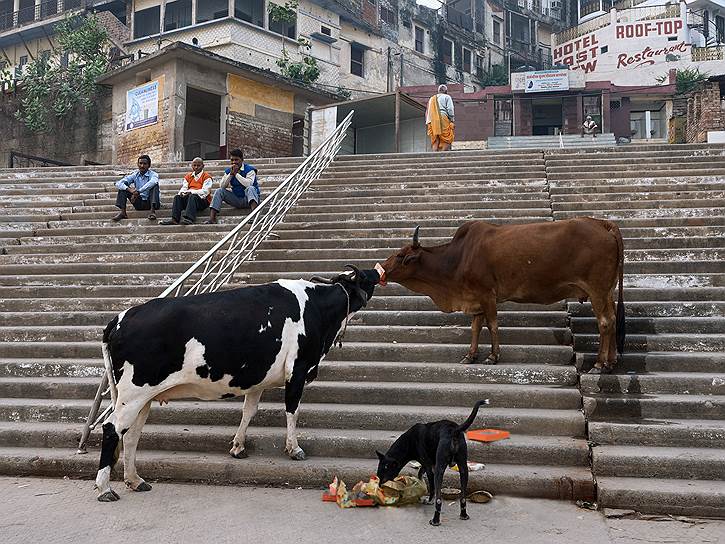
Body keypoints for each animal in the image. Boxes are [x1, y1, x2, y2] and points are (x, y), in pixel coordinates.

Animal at [93, 266, 382, 500]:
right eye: (367, 276)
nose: (379, 271)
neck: (318, 308)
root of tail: (120, 318)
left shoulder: (258, 379)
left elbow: (248, 411)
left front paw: (238, 446)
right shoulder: (298, 369)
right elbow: (292, 411)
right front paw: (294, 449)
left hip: (142, 398)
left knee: (131, 435)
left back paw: (135, 480)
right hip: (133, 393)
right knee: (111, 429)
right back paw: (105, 489)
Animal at [378, 217, 624, 374]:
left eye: (401, 255)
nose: (381, 268)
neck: (458, 258)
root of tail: (603, 223)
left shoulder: (487, 294)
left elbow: (493, 325)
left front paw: (493, 356)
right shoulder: (475, 297)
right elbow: (476, 327)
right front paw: (470, 356)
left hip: (597, 290)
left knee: (604, 322)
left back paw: (599, 365)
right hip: (608, 291)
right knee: (613, 320)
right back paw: (611, 362)